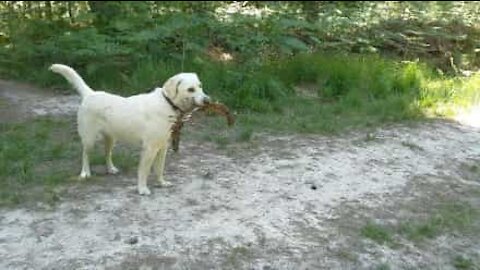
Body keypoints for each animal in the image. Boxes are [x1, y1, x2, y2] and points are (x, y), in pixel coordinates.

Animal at [49, 63, 211, 194]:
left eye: (200, 86)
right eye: (190, 89)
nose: (208, 100)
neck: (168, 103)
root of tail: (91, 94)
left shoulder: (163, 148)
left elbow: (159, 169)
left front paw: (161, 183)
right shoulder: (149, 149)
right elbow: (143, 171)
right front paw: (142, 189)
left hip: (111, 139)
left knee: (107, 154)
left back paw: (111, 169)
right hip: (89, 139)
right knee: (85, 155)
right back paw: (85, 173)